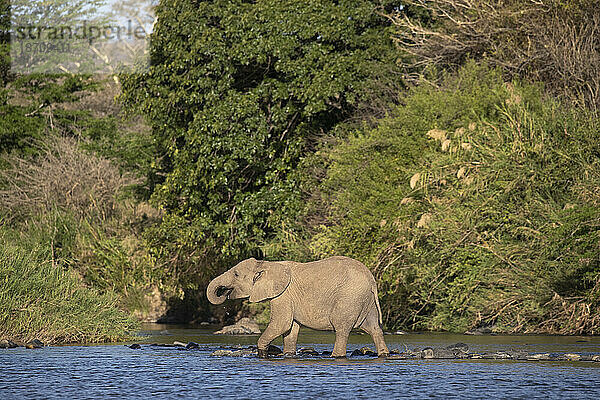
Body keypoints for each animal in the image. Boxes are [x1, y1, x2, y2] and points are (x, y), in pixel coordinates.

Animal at [206, 256, 390, 360]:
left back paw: (337, 356)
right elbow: (290, 329)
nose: (224, 292)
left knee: (342, 328)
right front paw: (288, 355)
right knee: (374, 328)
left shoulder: (282, 295)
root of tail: (372, 279)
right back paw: (384, 354)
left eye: (236, 274)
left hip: (349, 297)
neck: (267, 264)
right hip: (365, 299)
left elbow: (281, 324)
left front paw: (262, 354)